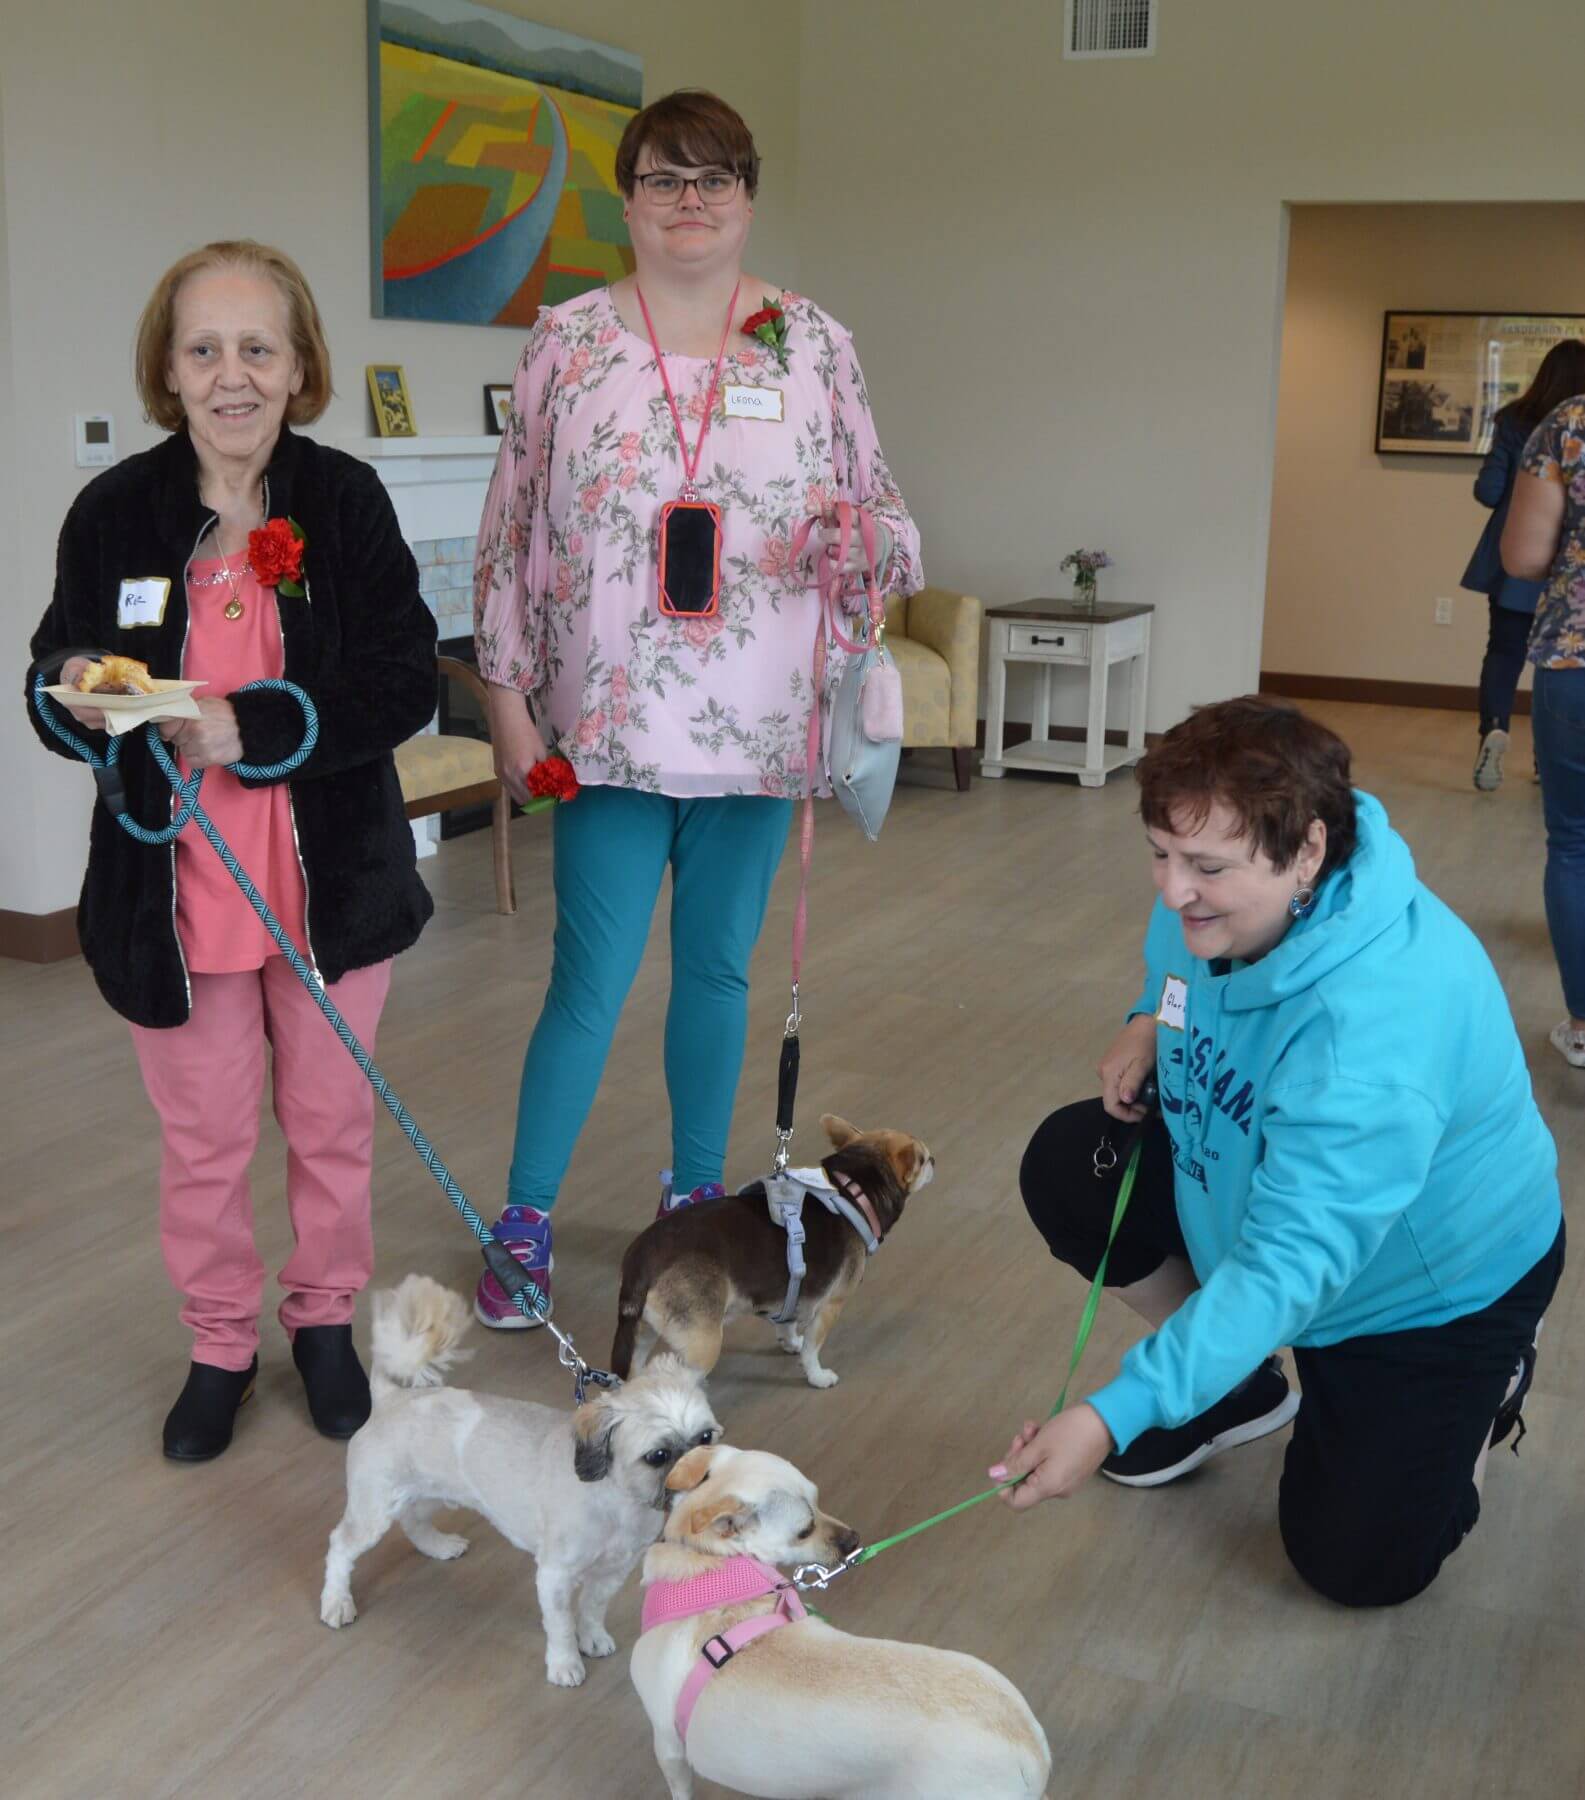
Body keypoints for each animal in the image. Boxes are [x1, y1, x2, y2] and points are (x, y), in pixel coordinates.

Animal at [318, 1274, 719, 1677]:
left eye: (706, 1438)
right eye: (658, 1456)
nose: (702, 1473)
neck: (618, 1503)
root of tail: (390, 1398)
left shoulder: (613, 1571)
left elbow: (591, 1610)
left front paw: (592, 1638)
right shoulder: (555, 1575)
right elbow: (561, 1625)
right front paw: (564, 1664)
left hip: (429, 1493)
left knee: (414, 1522)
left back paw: (437, 1545)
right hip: (373, 1511)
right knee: (340, 1546)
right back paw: (336, 1601)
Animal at [604, 1108, 928, 1389]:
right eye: (924, 1159)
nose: (935, 1159)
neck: (851, 1190)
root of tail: (643, 1261)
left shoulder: (791, 1292)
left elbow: (787, 1325)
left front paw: (790, 1343)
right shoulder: (830, 1307)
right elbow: (813, 1349)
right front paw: (817, 1376)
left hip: (641, 1336)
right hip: (703, 1344)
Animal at [629, 1440, 1050, 1800]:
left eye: (818, 1499)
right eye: (804, 1530)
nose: (853, 1540)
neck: (704, 1560)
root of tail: (1030, 1753)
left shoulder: (667, 1746)